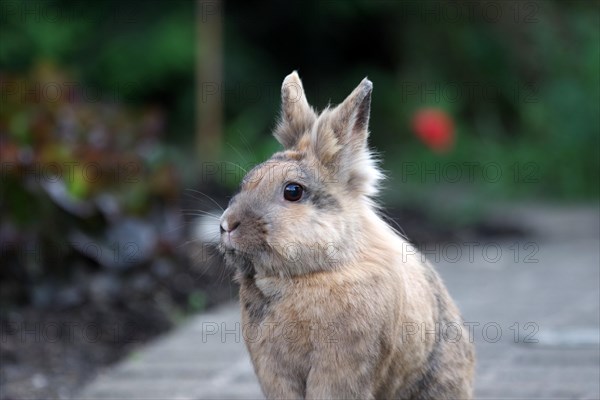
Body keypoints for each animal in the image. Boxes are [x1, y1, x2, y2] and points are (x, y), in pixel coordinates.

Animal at [214, 72, 474, 400]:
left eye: (293, 191)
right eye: (247, 180)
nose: (226, 225)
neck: (310, 275)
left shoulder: (340, 368)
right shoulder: (273, 370)